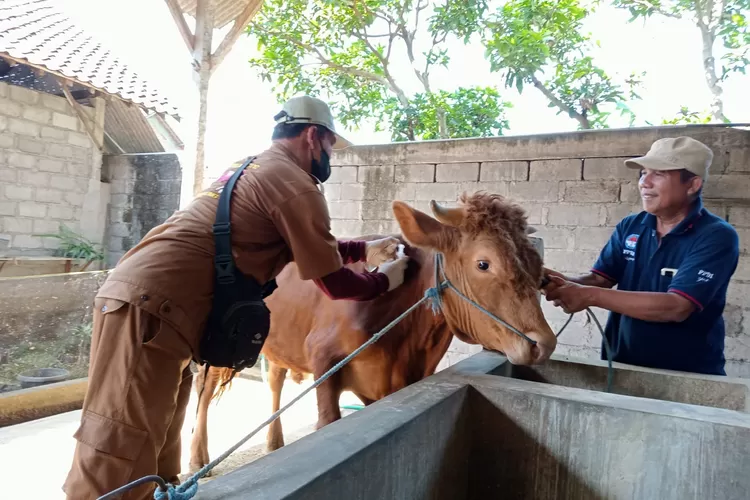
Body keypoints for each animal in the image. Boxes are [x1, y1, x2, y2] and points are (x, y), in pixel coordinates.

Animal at [189, 192, 560, 472]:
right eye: (483, 263)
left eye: (537, 265)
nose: (543, 343)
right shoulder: (324, 361)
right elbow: (327, 420)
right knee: (204, 388)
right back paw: (197, 458)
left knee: (276, 379)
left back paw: (274, 441)